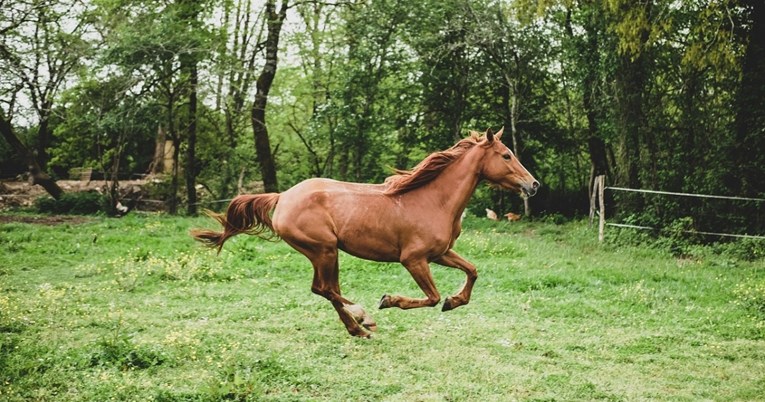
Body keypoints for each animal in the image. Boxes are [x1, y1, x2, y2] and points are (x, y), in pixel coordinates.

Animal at [191, 128, 536, 336]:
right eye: (506, 155)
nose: (533, 185)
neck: (433, 200)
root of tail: (283, 196)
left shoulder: (440, 253)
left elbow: (472, 271)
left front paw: (455, 301)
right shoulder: (413, 259)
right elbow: (431, 296)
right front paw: (389, 300)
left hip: (327, 254)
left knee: (325, 289)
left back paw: (357, 326)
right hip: (323, 249)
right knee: (325, 289)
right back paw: (362, 319)